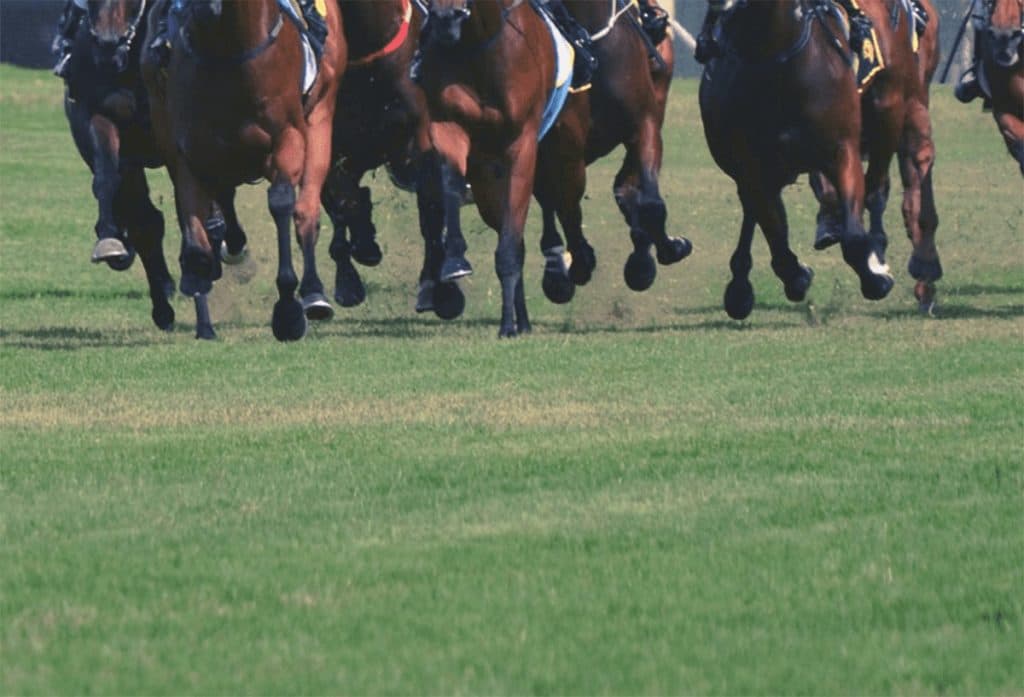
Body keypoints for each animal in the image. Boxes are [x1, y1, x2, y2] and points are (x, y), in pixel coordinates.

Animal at [141, 0, 346, 340]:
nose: (203, 8)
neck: (228, 45)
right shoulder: (186, 147)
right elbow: (194, 231)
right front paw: (201, 304)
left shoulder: (288, 137)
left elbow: (281, 202)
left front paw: (288, 312)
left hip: (320, 116)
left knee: (305, 211)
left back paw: (313, 293)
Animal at [419, 0, 590, 337]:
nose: (445, 18)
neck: (479, 42)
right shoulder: (449, 125)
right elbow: (451, 184)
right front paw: (455, 259)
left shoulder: (522, 143)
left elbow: (511, 244)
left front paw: (506, 326)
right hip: (488, 182)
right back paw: (520, 318)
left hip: (564, 156)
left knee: (564, 207)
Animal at [536, 0, 691, 304]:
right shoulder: (561, 145)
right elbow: (565, 206)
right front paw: (574, 265)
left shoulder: (644, 124)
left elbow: (647, 201)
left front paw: (654, 257)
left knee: (626, 187)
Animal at [699, 0, 894, 321]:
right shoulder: (752, 168)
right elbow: (776, 236)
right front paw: (796, 275)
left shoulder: (842, 151)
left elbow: (854, 237)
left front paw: (876, 276)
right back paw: (740, 284)